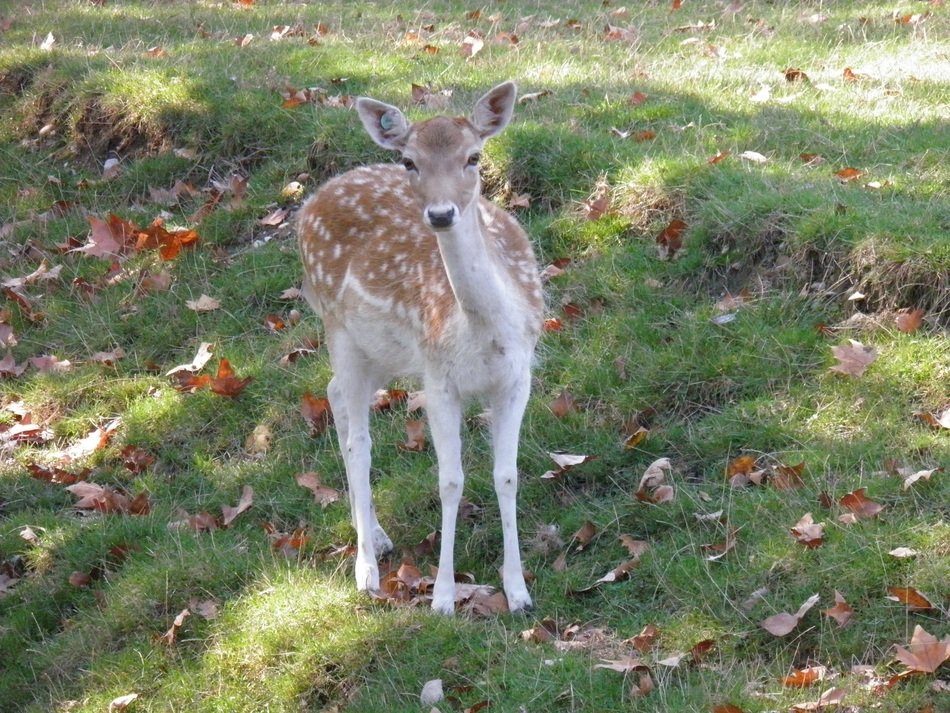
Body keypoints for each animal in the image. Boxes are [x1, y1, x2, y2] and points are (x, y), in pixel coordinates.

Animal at [297, 82, 542, 614]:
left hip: (380, 353)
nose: (441, 213)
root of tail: (307, 205)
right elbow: (450, 480)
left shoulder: (517, 375)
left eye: (474, 156)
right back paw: (366, 566)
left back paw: (373, 531)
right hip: (337, 326)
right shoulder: (438, 377)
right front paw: (444, 597)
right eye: (409, 161)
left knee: (333, 395)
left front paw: (518, 591)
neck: (484, 331)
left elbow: (507, 474)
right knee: (358, 439)